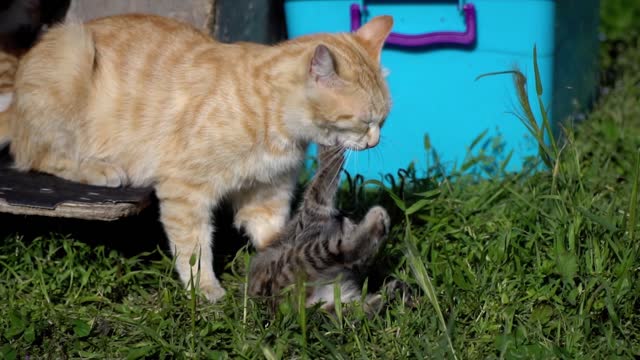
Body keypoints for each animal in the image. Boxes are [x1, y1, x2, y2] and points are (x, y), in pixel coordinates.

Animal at [249, 145, 390, 310]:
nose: (341, 214)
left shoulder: (311, 214)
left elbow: (324, 177)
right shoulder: (311, 215)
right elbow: (326, 174)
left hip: (302, 259)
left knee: (344, 251)